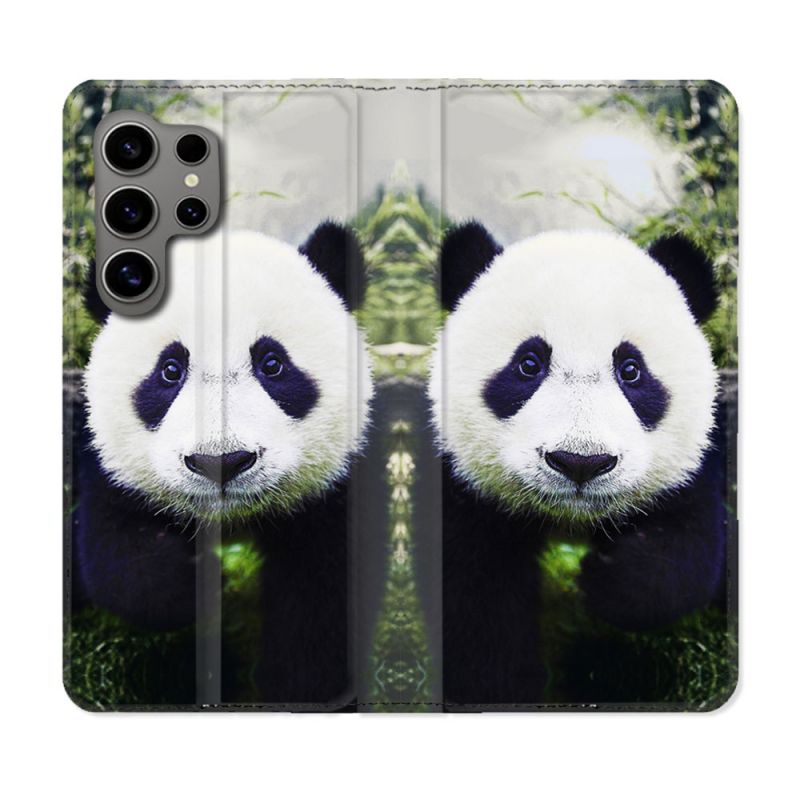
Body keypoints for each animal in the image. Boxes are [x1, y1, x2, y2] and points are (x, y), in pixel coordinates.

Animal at [73, 222, 372, 706]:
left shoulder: (335, 491)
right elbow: (118, 557)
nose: (222, 463)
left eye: (272, 363)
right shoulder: (110, 469)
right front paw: (194, 584)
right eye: (170, 370)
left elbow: (321, 602)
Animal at [428, 222, 727, 708]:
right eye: (528, 364)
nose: (580, 463)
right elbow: (474, 605)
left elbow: (687, 550)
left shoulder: (691, 466)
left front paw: (609, 579)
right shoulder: (462, 488)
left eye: (631, 369)